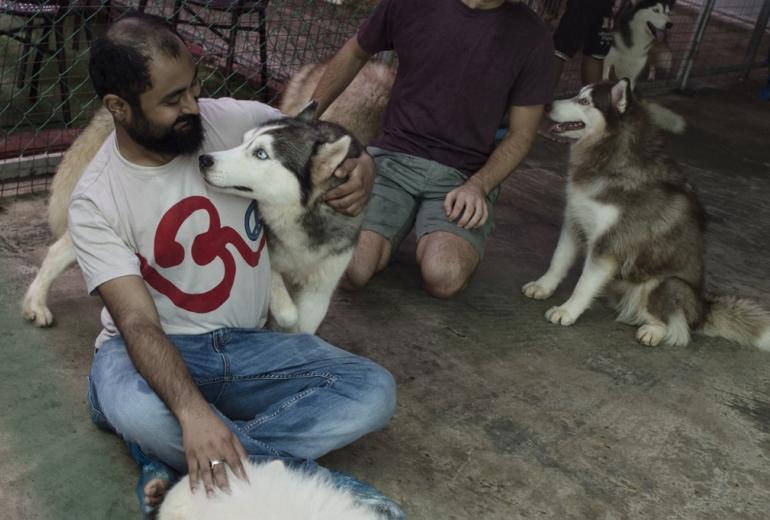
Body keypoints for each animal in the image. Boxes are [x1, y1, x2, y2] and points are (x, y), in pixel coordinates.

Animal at [520, 80, 768, 350]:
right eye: (578, 93)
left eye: (584, 101)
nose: (546, 105)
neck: (610, 159)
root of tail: (703, 310)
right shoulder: (575, 221)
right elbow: (558, 260)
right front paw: (543, 286)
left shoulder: (608, 245)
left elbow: (583, 284)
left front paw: (567, 311)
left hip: (667, 285)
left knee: (676, 327)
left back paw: (653, 332)